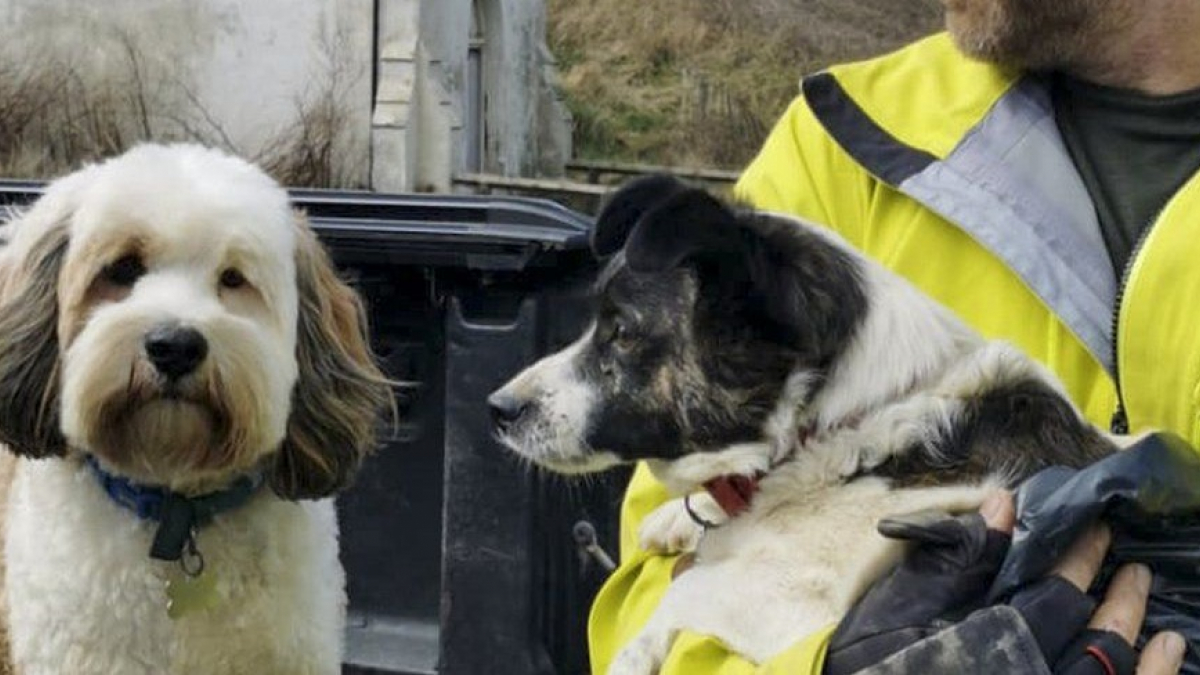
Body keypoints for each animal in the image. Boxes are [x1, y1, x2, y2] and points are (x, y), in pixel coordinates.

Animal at [484, 176, 1113, 667]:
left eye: (620, 331)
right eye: (597, 321)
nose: (498, 409)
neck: (849, 430)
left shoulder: (795, 602)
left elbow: (682, 599)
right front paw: (680, 515)